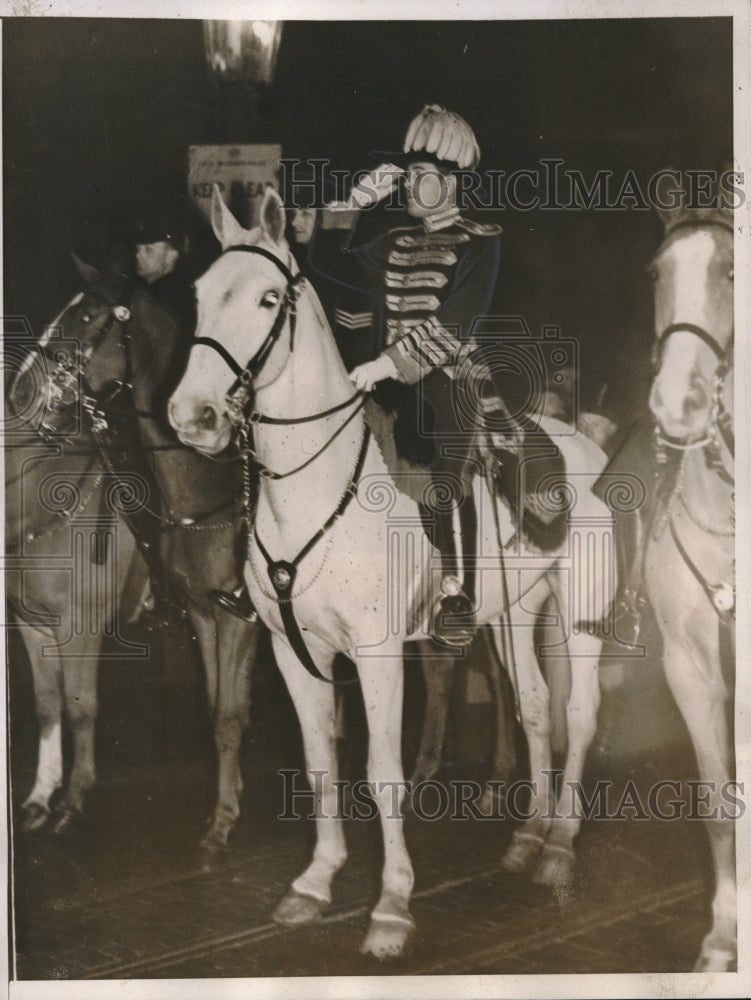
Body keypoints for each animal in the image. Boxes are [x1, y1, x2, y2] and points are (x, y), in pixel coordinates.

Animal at [4, 260, 260, 860]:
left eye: (86, 317)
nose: (22, 388)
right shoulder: (31, 626)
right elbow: (47, 706)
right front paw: (38, 799)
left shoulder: (81, 627)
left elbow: (80, 707)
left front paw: (72, 803)